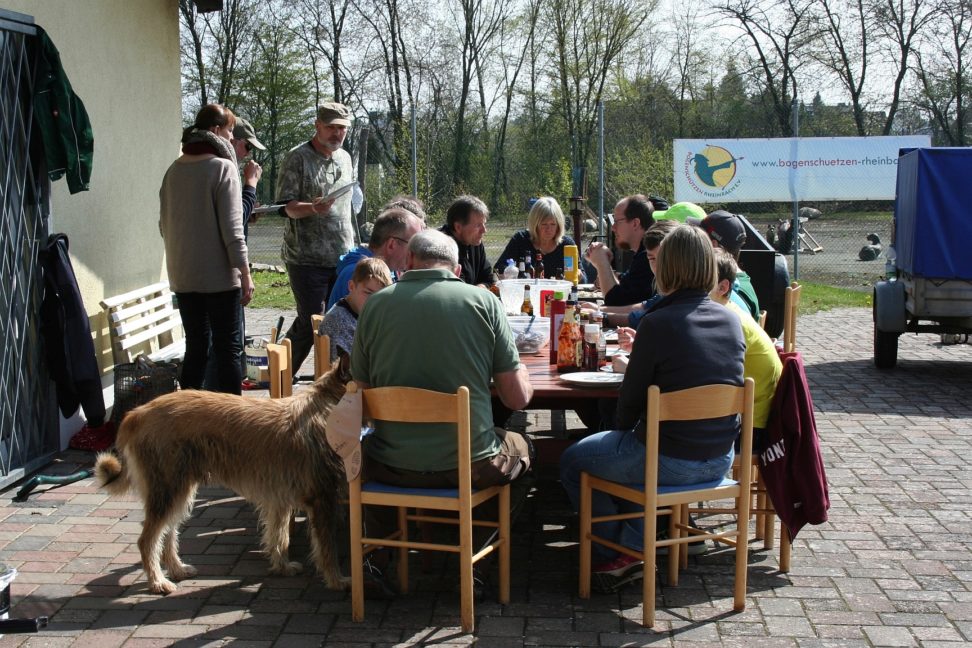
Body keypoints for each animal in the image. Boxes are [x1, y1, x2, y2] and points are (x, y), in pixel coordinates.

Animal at [94, 368, 350, 596]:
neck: (325, 409)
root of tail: (137, 413)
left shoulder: (279, 499)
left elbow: (279, 536)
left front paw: (282, 566)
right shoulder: (322, 498)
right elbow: (327, 547)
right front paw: (336, 580)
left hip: (179, 489)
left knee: (168, 531)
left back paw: (176, 569)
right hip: (167, 489)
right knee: (147, 540)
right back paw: (158, 581)